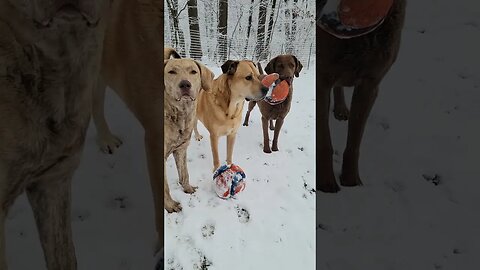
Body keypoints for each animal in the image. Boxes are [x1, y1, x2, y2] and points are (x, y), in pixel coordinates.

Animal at [163, 56, 214, 212]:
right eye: (171, 72)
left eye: (193, 72)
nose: (185, 84)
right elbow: (165, 187)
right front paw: (170, 205)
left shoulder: (181, 149)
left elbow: (184, 174)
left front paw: (188, 189)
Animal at [316, 0, 406, 194]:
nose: (329, 20)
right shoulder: (321, 80)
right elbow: (324, 140)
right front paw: (326, 182)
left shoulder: (370, 85)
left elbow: (355, 141)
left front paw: (351, 181)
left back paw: (341, 109)